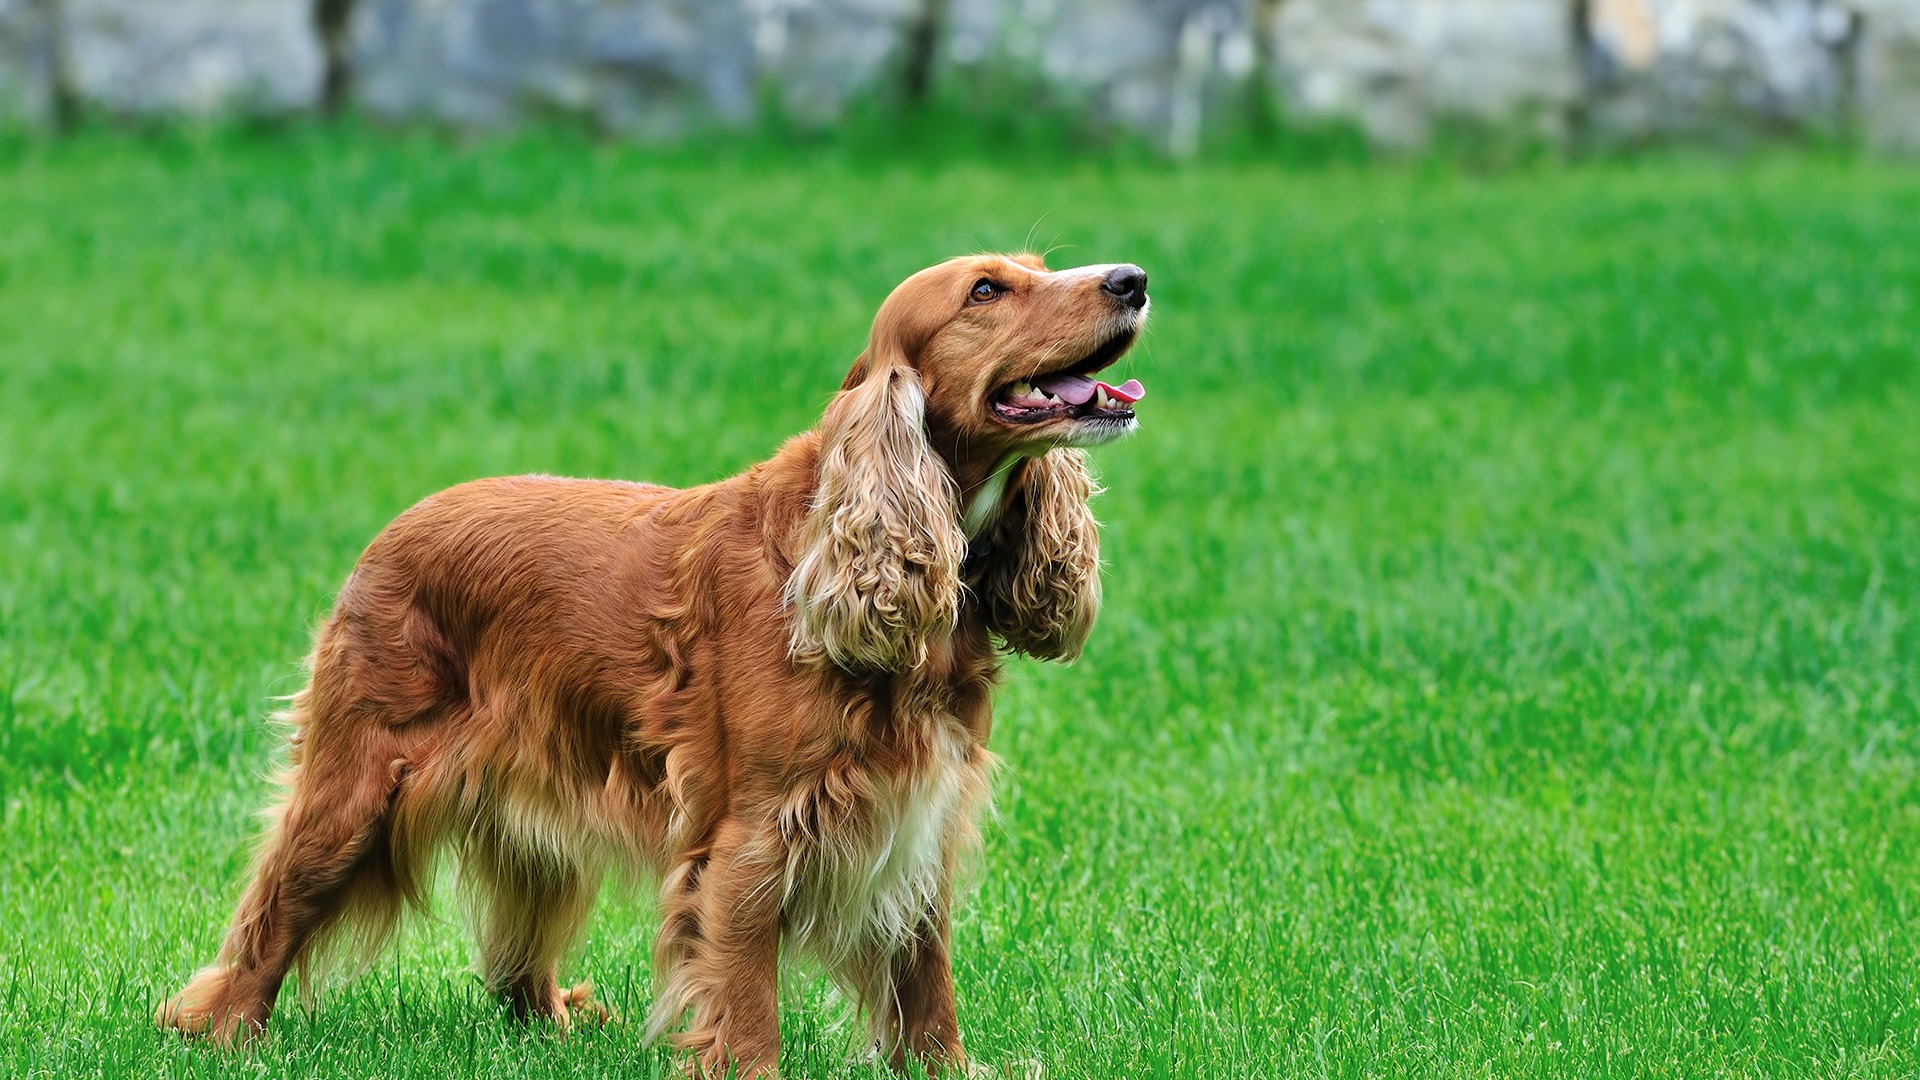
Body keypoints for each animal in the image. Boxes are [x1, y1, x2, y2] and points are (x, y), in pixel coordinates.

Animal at [157, 249, 1144, 1068]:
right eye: (986, 291)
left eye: (1038, 265)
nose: (1132, 279)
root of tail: (394, 529)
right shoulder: (752, 834)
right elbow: (746, 998)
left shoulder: (919, 816)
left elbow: (926, 985)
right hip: (357, 784)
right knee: (268, 918)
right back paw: (222, 1032)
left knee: (514, 962)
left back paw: (557, 1020)